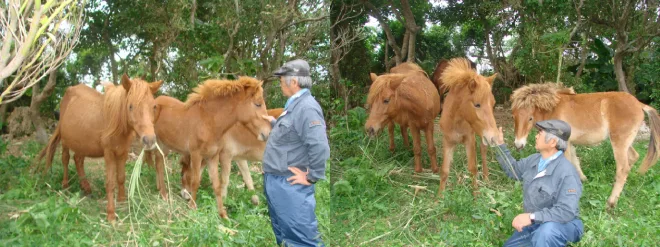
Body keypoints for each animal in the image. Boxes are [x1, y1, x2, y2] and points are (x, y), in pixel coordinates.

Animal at [37, 74, 164, 222]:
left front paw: (122, 201)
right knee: (65, 159)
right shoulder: (108, 154)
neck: (117, 125)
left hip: (82, 143)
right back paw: (65, 186)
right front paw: (111, 214)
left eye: (153, 106)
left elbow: (121, 177)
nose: (149, 140)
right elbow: (110, 183)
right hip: (65, 141)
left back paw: (86, 187)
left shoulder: (123, 153)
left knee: (78, 160)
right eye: (131, 106)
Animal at [146, 76, 270, 219]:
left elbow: (217, 184)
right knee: (158, 165)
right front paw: (192, 207)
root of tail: (156, 101)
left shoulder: (213, 157)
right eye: (258, 104)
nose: (267, 134)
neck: (208, 122)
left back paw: (161, 191)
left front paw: (223, 215)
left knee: (159, 163)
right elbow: (195, 181)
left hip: (165, 146)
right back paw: (164, 195)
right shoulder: (196, 155)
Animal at [436, 57, 498, 197]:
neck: (456, 121)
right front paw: (439, 197)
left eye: (493, 104)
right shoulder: (447, 141)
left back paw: (486, 177)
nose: (494, 137)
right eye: (477, 104)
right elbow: (444, 171)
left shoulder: (470, 139)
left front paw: (475, 196)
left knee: (483, 149)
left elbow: (472, 168)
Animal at [510, 83, 660, 208]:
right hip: (625, 143)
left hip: (619, 143)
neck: (553, 108)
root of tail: (639, 104)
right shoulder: (570, 143)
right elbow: (575, 161)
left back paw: (611, 202)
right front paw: (583, 180)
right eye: (514, 116)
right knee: (634, 157)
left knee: (623, 168)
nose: (518, 144)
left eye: (530, 118)